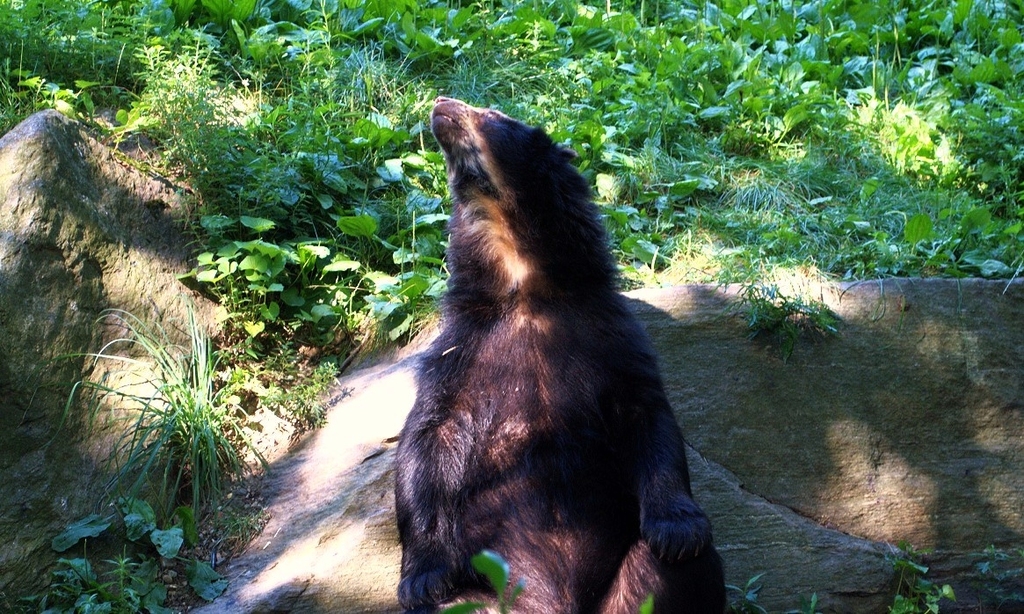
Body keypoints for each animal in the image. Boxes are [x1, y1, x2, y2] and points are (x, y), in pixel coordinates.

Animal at [394, 97, 725, 614]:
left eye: (493, 114)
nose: (441, 104)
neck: (524, 280)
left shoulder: (609, 335)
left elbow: (650, 418)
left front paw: (678, 531)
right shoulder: (460, 351)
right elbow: (426, 440)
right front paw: (423, 578)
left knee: (679, 570)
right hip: (485, 597)